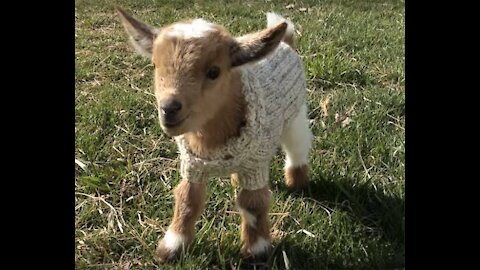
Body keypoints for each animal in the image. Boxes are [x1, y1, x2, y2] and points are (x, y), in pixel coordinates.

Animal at [116, 7, 312, 262]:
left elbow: (253, 203)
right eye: (155, 65)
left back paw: (297, 181)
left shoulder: (255, 165)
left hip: (296, 115)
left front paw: (257, 250)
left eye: (213, 71)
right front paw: (172, 246)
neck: (211, 140)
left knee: (298, 147)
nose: (169, 109)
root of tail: (286, 42)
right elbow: (188, 199)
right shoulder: (192, 165)